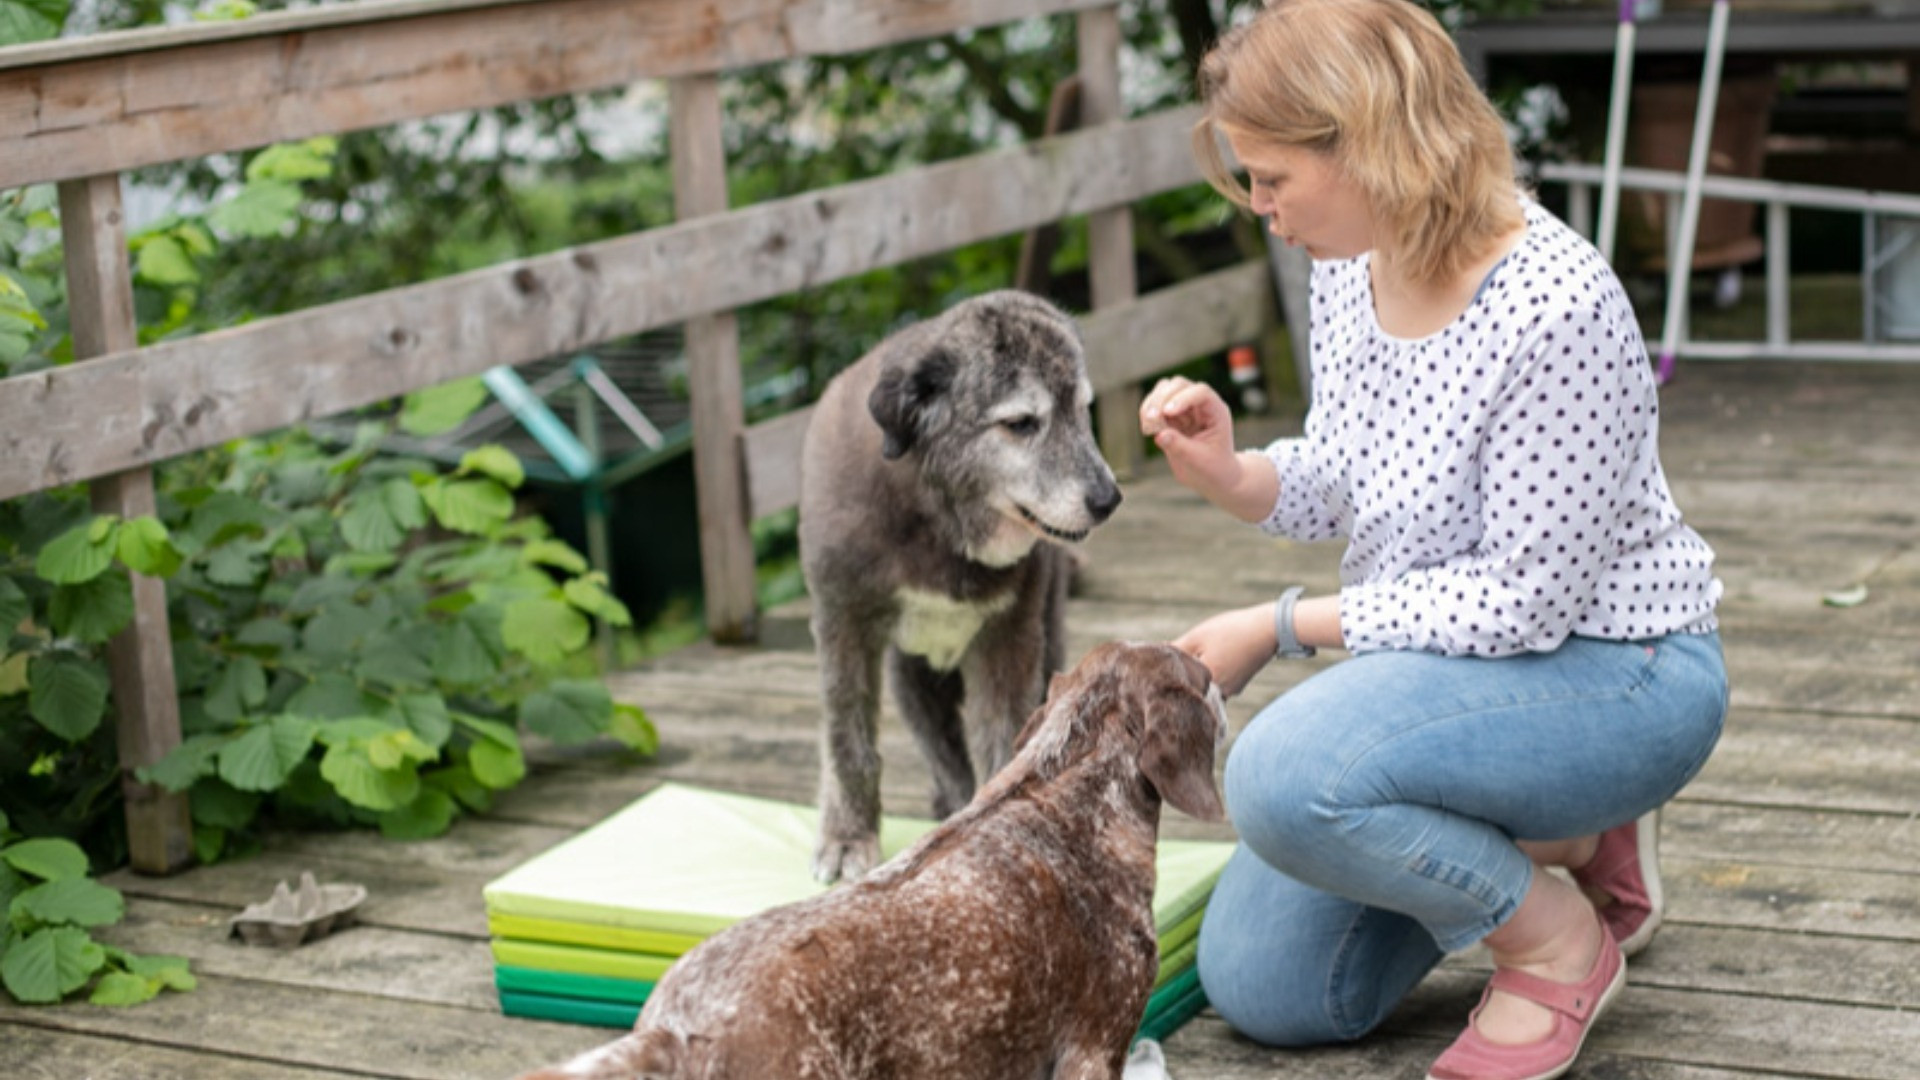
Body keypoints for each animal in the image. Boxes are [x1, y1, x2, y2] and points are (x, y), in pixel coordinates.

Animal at [799, 290, 1123, 884]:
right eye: (1020, 423)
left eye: (1082, 409)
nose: (1108, 499)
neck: (936, 520)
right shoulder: (843, 627)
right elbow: (847, 741)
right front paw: (847, 837)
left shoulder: (1010, 637)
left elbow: (1007, 739)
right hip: (911, 679)